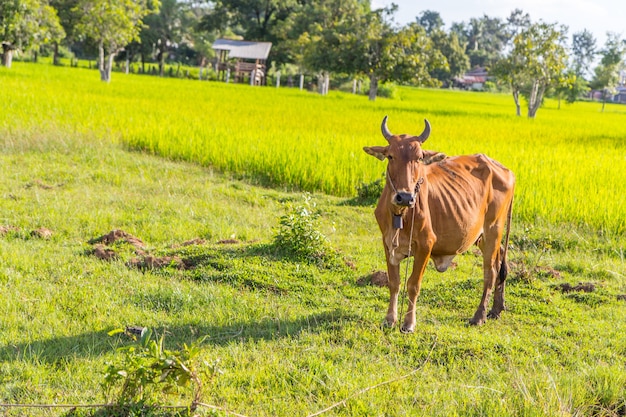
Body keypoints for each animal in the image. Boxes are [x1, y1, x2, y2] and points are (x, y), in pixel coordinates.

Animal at [360, 115, 512, 330]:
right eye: (390, 156)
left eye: (418, 157)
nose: (405, 197)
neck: (401, 214)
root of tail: (505, 170)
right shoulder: (387, 242)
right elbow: (394, 282)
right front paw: (390, 319)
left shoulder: (426, 245)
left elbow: (413, 284)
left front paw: (409, 323)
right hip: (482, 237)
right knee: (499, 266)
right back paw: (496, 310)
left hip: (494, 230)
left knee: (490, 272)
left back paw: (479, 316)